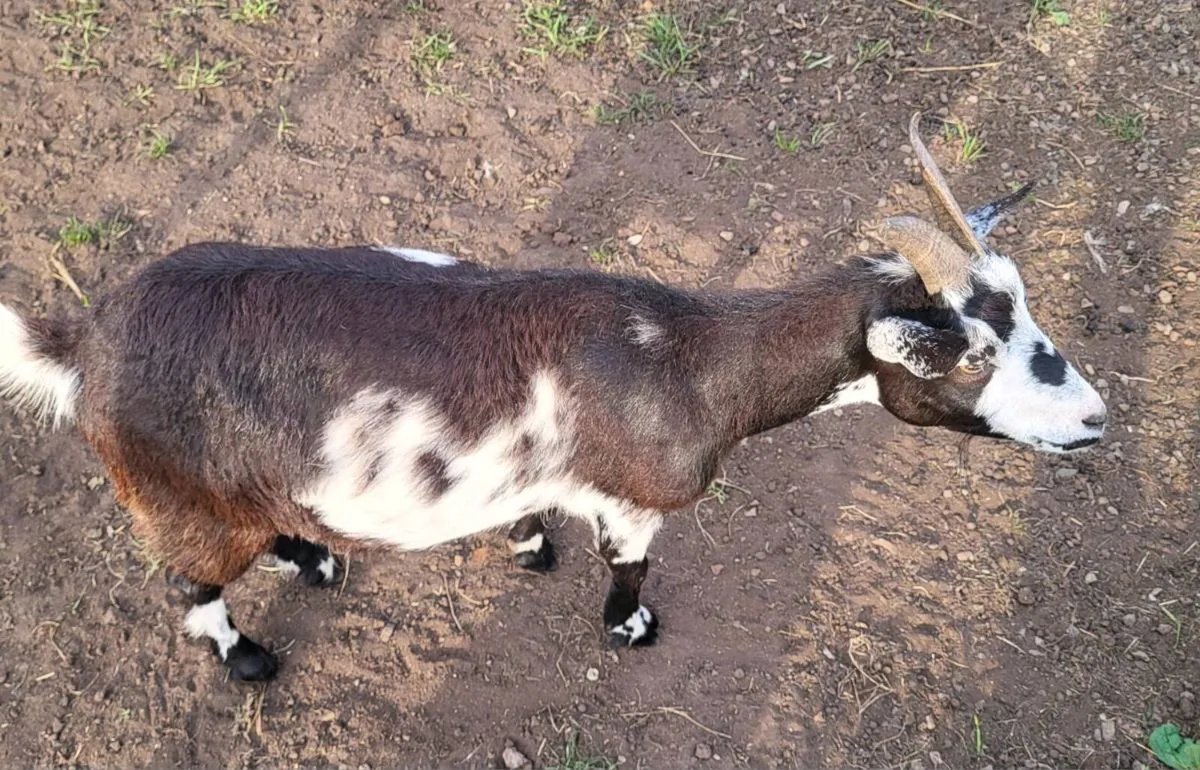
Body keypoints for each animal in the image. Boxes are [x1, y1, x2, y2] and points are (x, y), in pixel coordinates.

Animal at [0, 114, 1107, 682]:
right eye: (969, 353)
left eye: (1030, 312)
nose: (1094, 419)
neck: (683, 354)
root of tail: (88, 340)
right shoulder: (639, 497)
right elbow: (631, 566)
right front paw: (631, 627)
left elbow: (535, 514)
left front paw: (529, 544)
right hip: (169, 492)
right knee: (192, 587)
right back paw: (249, 656)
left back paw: (311, 555)